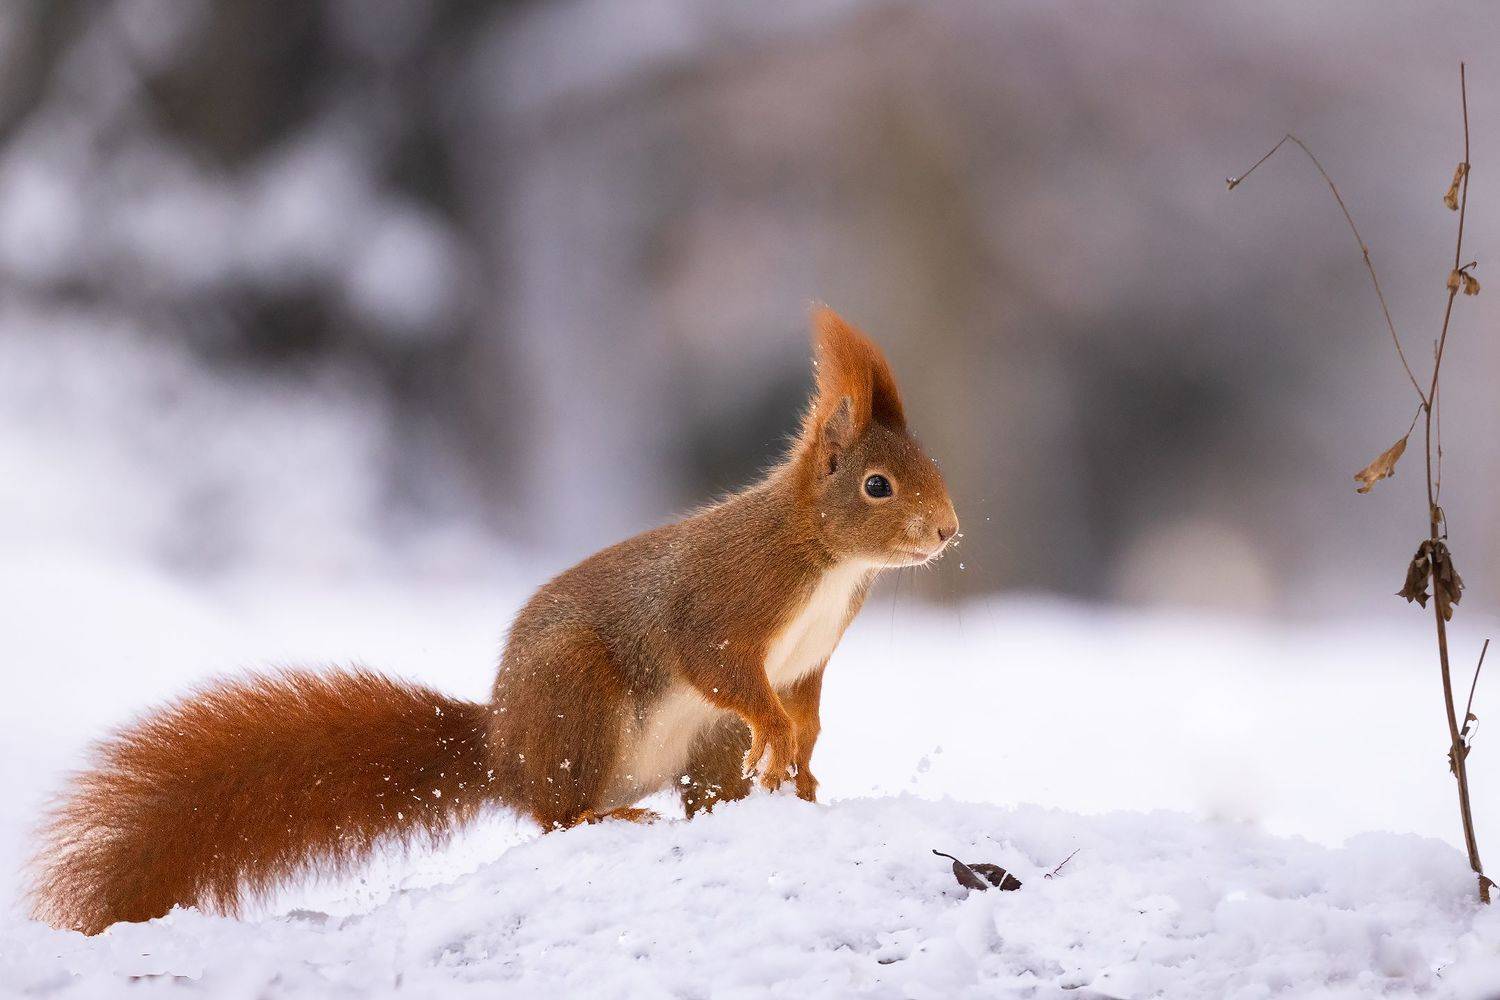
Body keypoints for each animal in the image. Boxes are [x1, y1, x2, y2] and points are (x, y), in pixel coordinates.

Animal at [30, 306, 958, 935]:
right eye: (878, 485)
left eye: (930, 465)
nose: (950, 531)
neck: (825, 558)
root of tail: (501, 749)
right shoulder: (728, 605)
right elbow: (725, 670)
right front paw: (780, 739)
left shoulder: (808, 658)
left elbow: (806, 708)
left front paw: (804, 769)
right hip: (577, 692)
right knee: (558, 814)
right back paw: (608, 817)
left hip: (698, 740)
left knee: (694, 794)